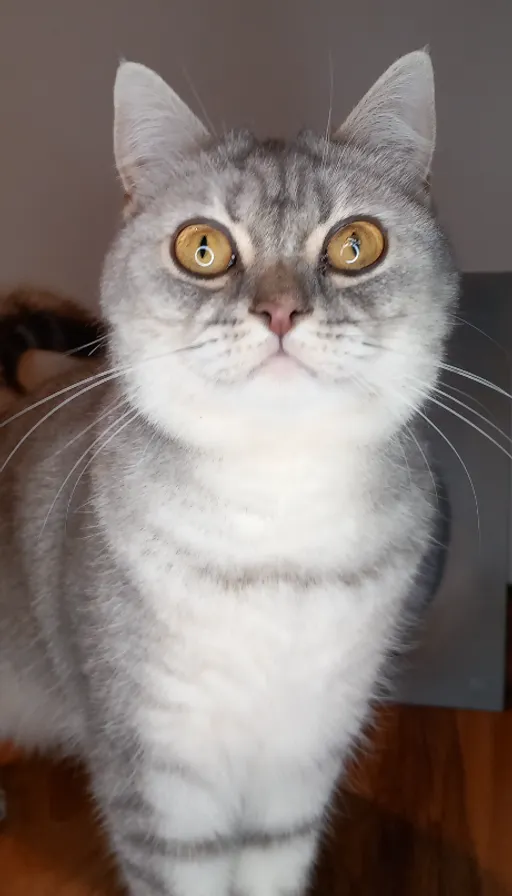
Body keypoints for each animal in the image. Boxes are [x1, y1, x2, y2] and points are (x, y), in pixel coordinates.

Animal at [0, 50, 456, 896]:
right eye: (203, 248)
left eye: (356, 244)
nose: (279, 312)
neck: (276, 528)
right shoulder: (160, 778)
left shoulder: (302, 760)